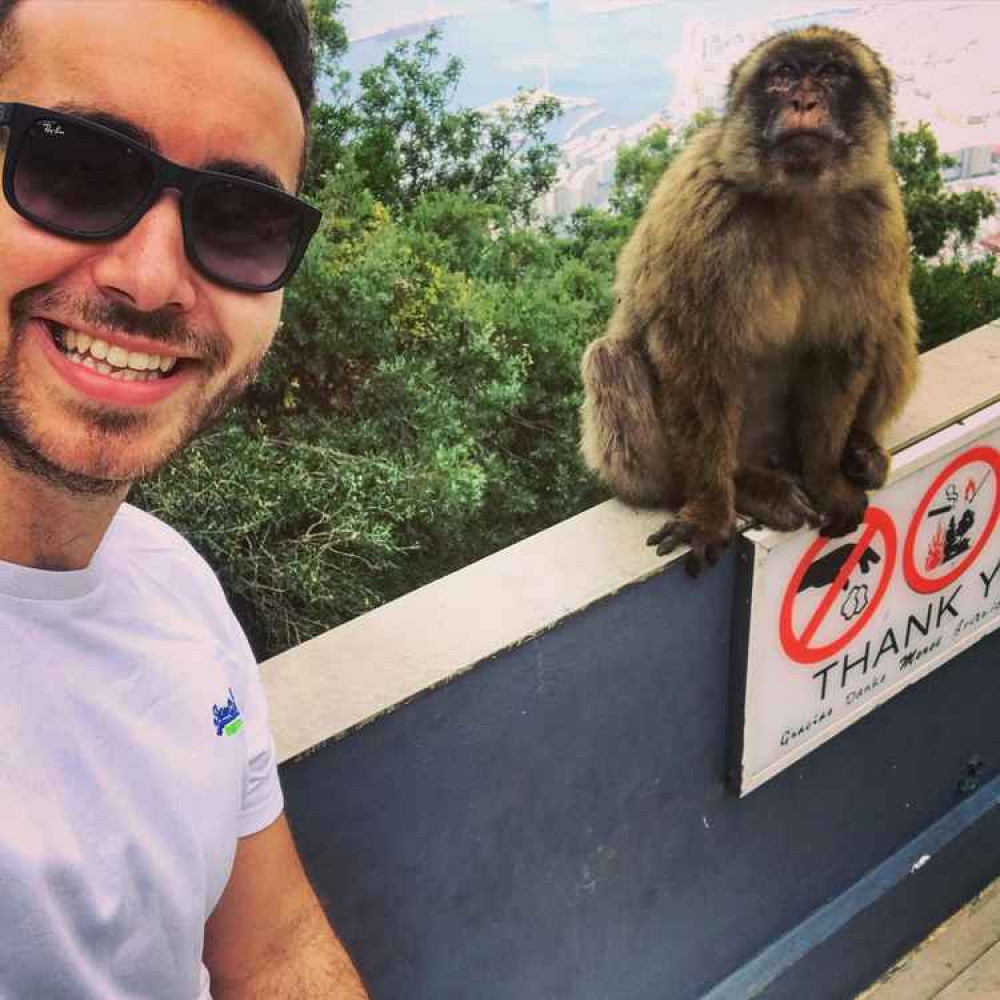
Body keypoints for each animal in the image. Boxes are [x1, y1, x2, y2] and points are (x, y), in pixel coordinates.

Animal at [584, 25, 916, 580]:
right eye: (783, 75)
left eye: (831, 73)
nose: (804, 100)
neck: (799, 197)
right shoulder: (703, 211)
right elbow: (695, 353)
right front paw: (710, 509)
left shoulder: (876, 211)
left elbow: (841, 348)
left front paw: (827, 477)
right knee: (610, 357)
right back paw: (743, 484)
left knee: (890, 316)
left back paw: (860, 450)